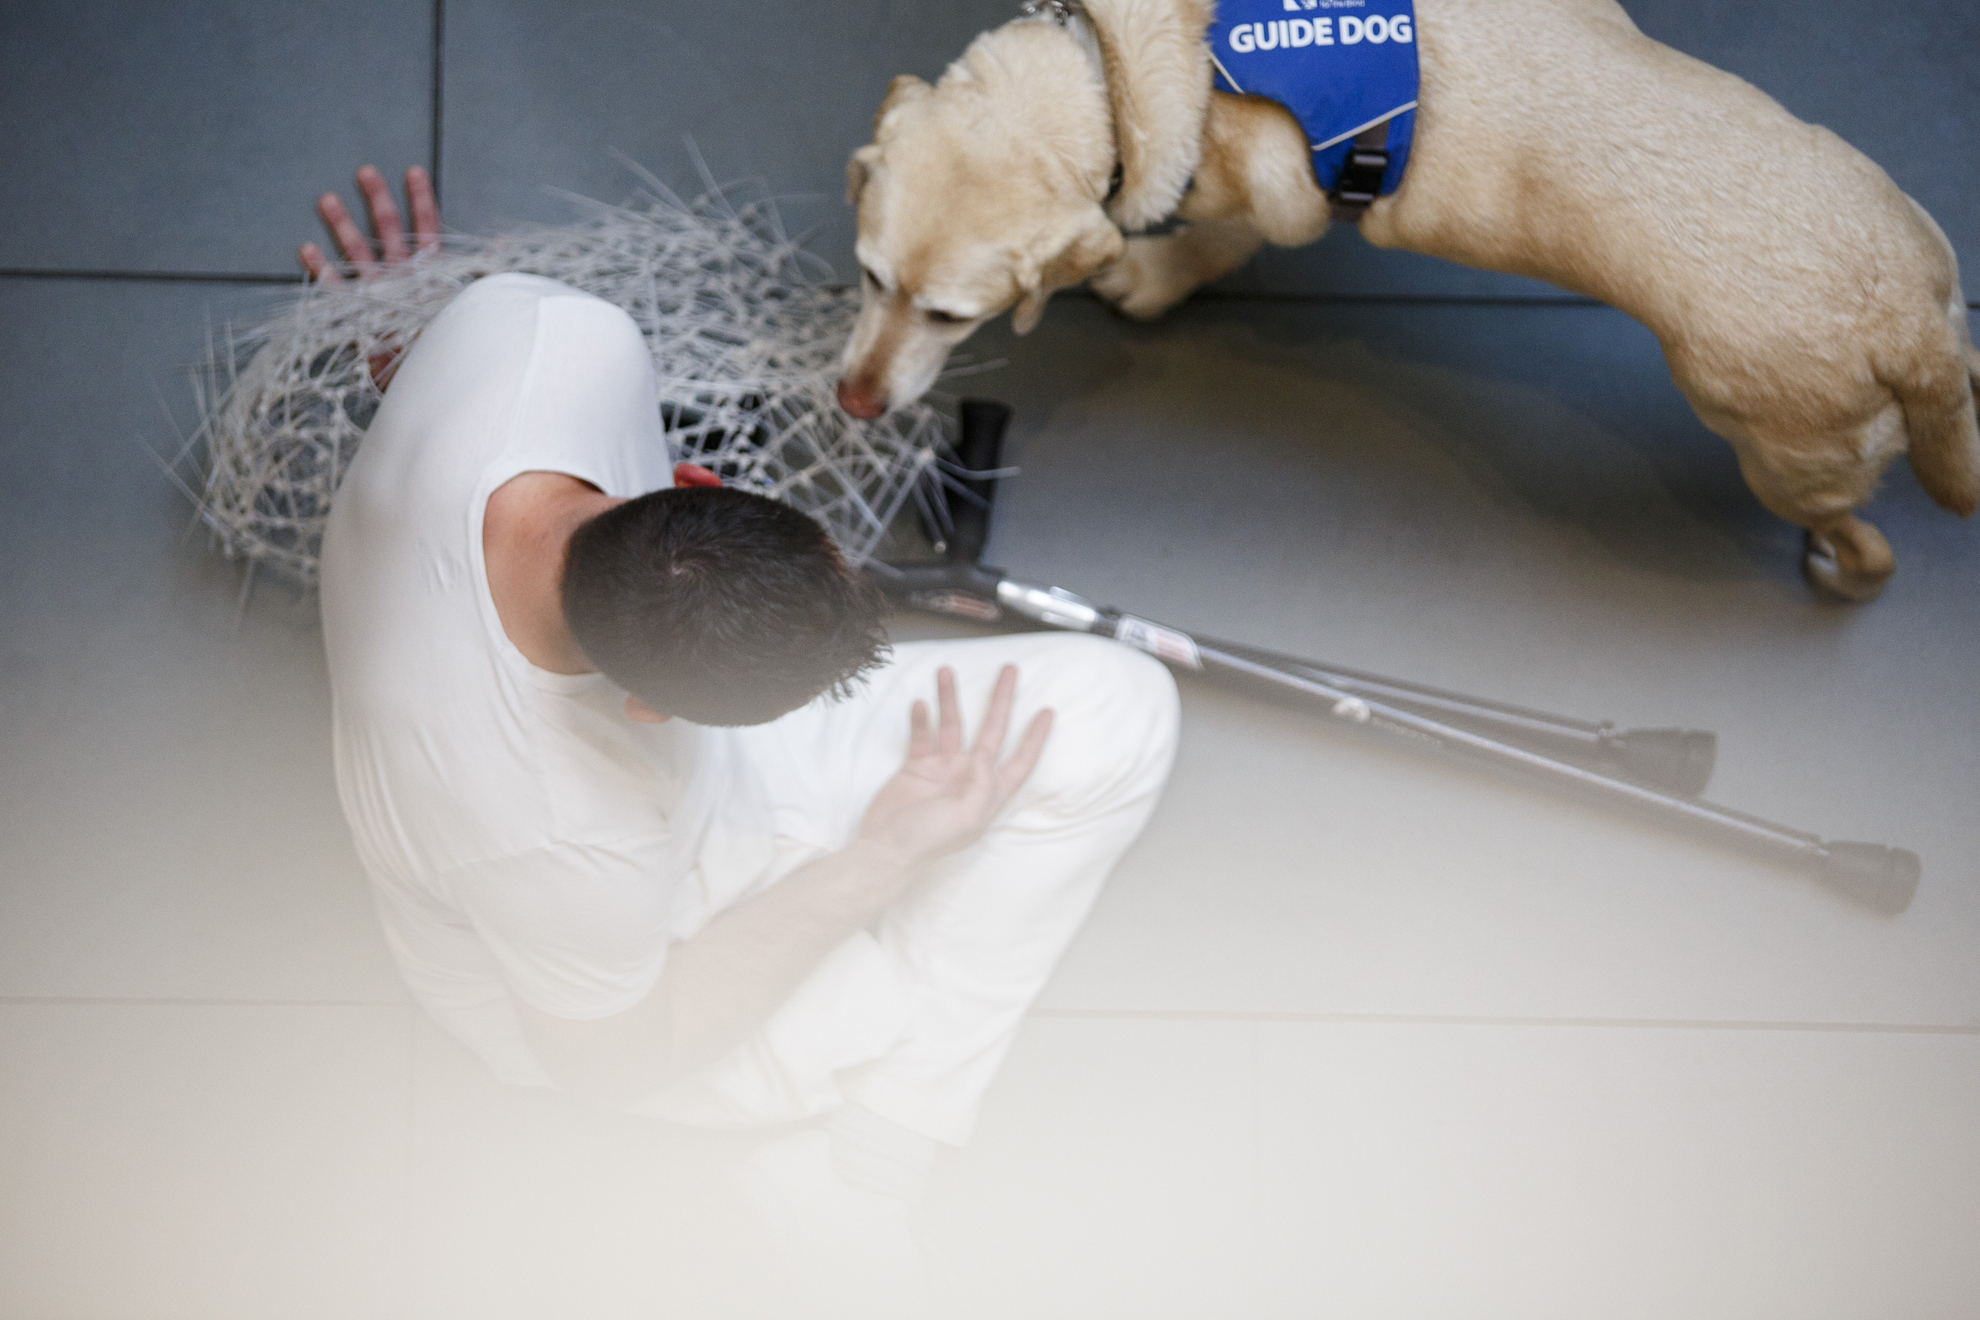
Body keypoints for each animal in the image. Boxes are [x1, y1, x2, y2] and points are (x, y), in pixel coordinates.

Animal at [839, 0, 1980, 597]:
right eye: (868, 275)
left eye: (950, 316)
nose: (852, 401)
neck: (1118, 65)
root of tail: (1911, 331)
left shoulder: (1258, 204)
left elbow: (1198, 244)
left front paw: (1144, 277)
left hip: (1775, 453)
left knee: (1862, 538)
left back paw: (1840, 564)